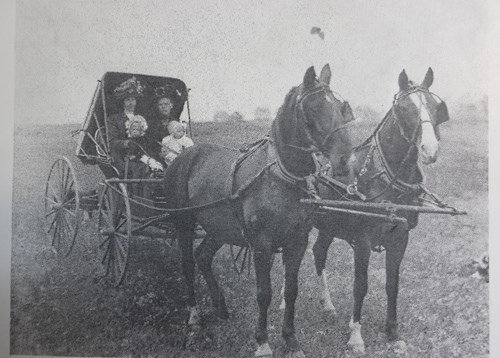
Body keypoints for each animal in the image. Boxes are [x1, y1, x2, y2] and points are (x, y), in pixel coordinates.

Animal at [164, 65, 356, 358]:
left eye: (340, 106)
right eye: (313, 108)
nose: (346, 159)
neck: (281, 178)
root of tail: (184, 156)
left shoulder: (297, 242)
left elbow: (291, 290)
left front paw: (291, 340)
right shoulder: (262, 245)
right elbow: (264, 293)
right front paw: (263, 342)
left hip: (219, 229)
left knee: (203, 256)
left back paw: (220, 307)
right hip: (184, 224)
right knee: (187, 264)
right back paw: (194, 318)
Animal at [310, 68, 452, 354]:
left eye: (436, 106)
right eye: (404, 108)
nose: (430, 150)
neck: (383, 177)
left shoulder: (400, 238)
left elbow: (392, 284)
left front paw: (392, 332)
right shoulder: (363, 240)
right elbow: (360, 285)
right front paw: (355, 336)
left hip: (329, 225)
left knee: (318, 253)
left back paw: (328, 306)